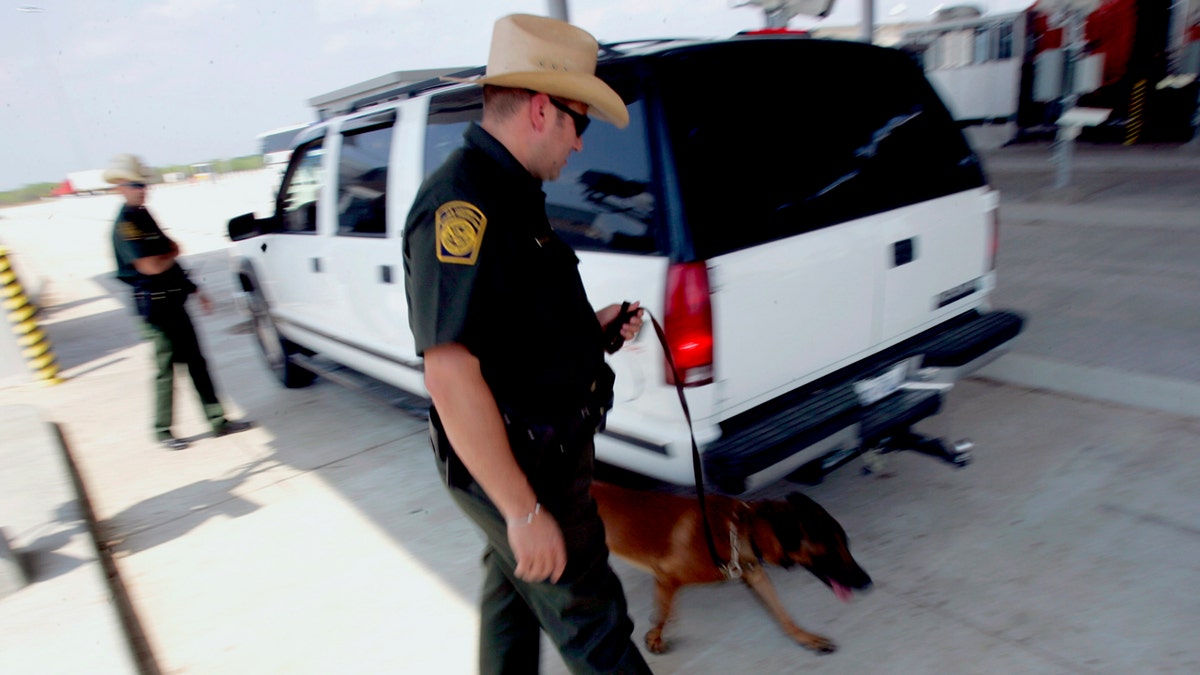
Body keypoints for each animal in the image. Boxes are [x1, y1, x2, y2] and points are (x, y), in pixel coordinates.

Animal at [592, 478, 868, 653]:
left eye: (846, 544)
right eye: (831, 550)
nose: (867, 582)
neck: (742, 531)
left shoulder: (756, 576)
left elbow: (784, 616)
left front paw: (807, 639)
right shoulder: (667, 576)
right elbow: (661, 613)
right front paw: (655, 637)